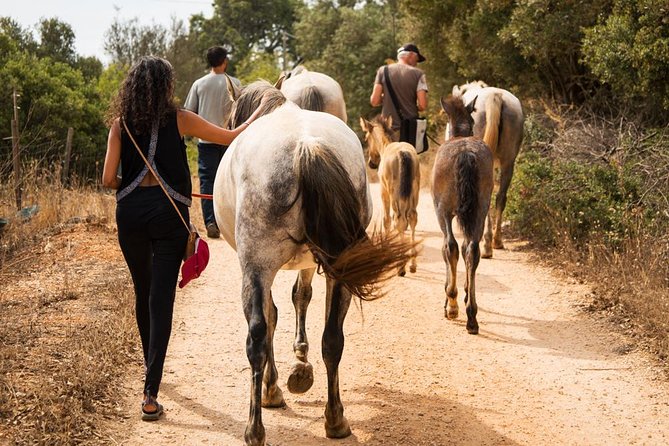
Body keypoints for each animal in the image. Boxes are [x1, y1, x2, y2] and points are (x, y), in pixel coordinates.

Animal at [214, 81, 412, 446]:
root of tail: (305, 147)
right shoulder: (309, 261)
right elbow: (301, 298)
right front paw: (300, 364)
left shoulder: (264, 269)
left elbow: (277, 313)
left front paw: (279, 382)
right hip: (341, 269)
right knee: (333, 339)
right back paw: (335, 419)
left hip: (256, 267)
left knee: (257, 337)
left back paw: (255, 428)